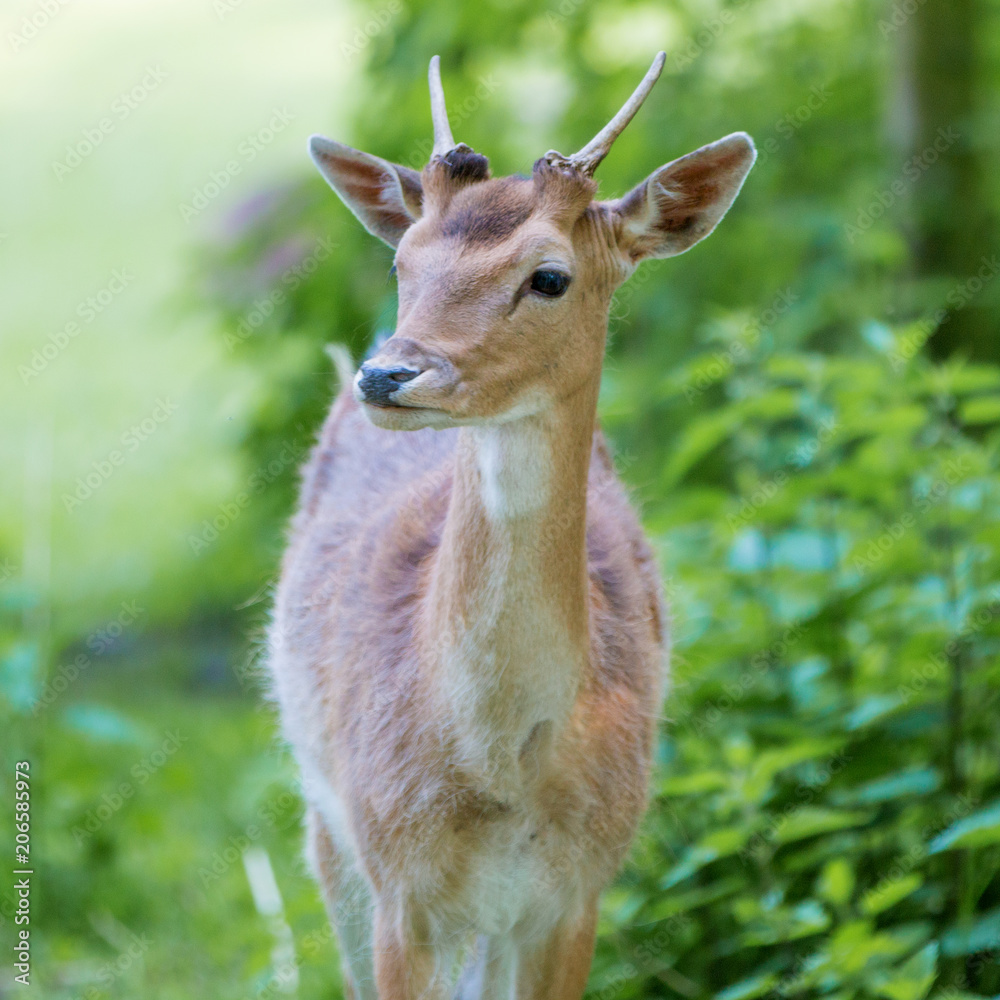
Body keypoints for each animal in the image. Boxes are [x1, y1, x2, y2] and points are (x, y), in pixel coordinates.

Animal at [270, 54, 752, 1000]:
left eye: (550, 276)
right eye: (403, 260)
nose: (387, 374)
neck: (502, 771)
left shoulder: (577, 892)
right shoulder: (399, 888)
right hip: (325, 823)